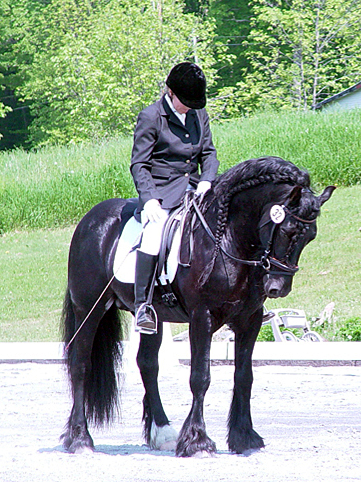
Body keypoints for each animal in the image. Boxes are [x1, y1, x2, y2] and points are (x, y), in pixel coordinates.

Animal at [60, 157, 334, 456]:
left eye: (311, 237)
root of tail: (90, 219)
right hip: (89, 310)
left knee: (148, 365)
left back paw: (163, 433)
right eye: (286, 231)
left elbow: (244, 376)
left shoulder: (249, 319)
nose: (278, 287)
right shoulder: (202, 317)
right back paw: (80, 439)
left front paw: (244, 437)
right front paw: (197, 441)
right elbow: (200, 377)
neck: (227, 239)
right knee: (80, 365)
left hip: (152, 317)